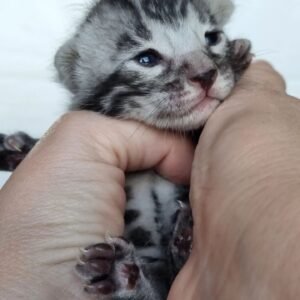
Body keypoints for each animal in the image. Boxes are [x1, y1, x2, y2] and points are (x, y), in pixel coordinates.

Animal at [0, 1, 252, 298]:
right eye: (147, 59)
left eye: (212, 37)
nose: (206, 74)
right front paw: (19, 148)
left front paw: (237, 57)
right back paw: (123, 274)